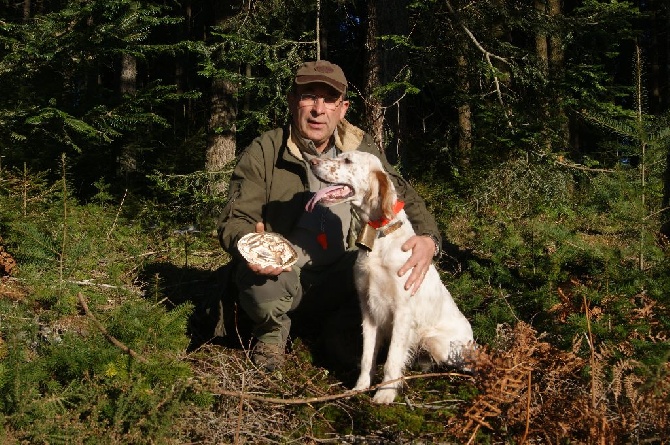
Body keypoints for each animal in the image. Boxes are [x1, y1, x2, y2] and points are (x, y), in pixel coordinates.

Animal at [308, 151, 476, 404]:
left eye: (348, 160)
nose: (312, 161)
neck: (379, 235)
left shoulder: (402, 312)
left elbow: (393, 358)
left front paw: (385, 393)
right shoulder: (368, 309)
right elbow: (367, 356)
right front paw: (360, 387)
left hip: (438, 344)